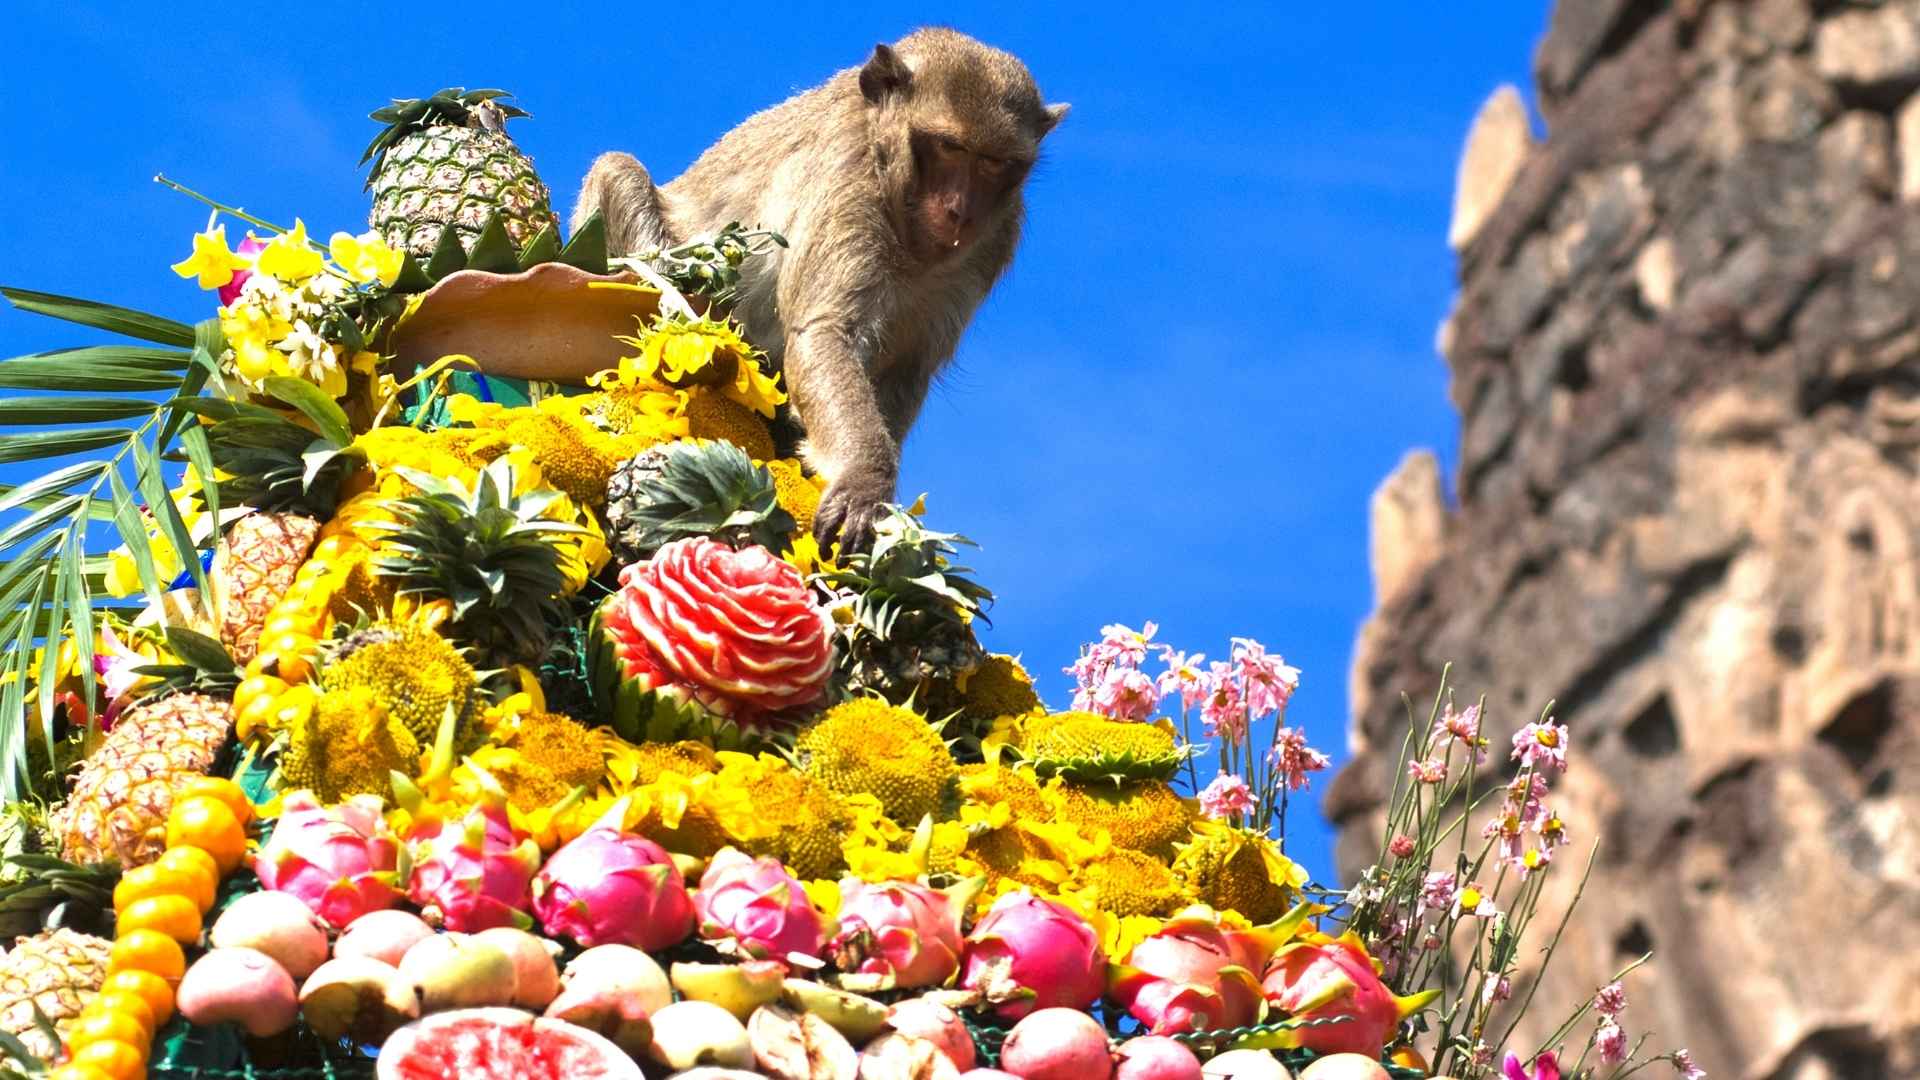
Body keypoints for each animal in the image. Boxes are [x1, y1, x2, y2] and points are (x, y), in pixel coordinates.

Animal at [573, 28, 1067, 551]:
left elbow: (909, 368)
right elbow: (823, 332)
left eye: (994, 163)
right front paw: (864, 480)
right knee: (617, 172)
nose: (961, 212)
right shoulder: (850, 178)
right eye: (949, 147)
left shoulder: (994, 239)